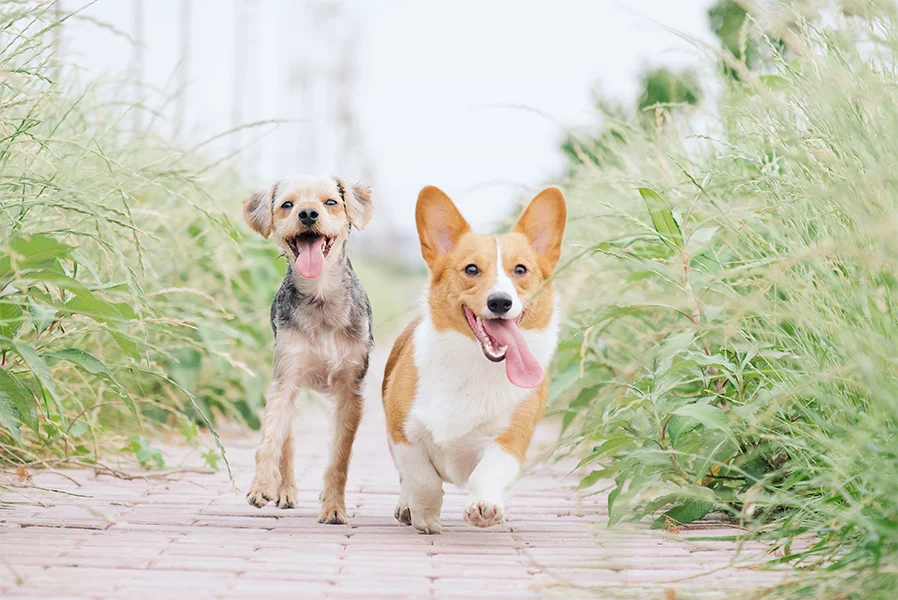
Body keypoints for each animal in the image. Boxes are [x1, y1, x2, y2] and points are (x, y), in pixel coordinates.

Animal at [240, 175, 372, 524]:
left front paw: (334, 507)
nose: (308, 214)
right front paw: (261, 486)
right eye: (287, 204)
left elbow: (340, 457)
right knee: (287, 440)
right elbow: (270, 440)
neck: (320, 295)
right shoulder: (285, 378)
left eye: (331, 202)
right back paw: (284, 490)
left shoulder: (351, 392)